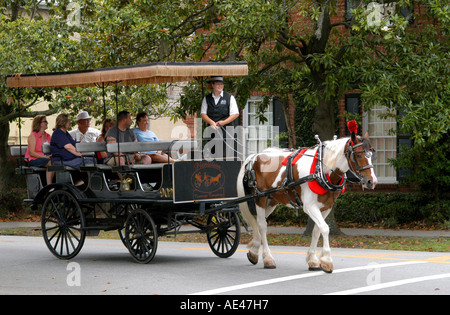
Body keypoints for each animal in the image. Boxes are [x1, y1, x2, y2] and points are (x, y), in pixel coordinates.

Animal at [237, 127, 378, 272]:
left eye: (371, 155)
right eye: (359, 155)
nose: (371, 181)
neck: (321, 170)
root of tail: (255, 156)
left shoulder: (326, 207)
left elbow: (317, 230)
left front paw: (313, 260)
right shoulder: (310, 206)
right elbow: (325, 228)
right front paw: (327, 260)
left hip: (272, 201)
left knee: (257, 223)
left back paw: (254, 251)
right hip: (260, 198)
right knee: (261, 225)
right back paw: (268, 258)